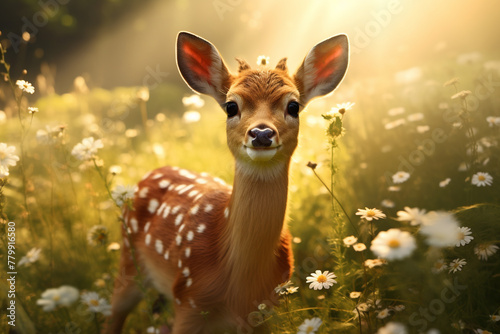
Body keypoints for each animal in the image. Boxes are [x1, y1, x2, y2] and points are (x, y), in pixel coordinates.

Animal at [105, 32, 348, 334]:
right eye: (231, 106)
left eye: (293, 106)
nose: (262, 133)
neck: (239, 288)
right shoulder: (189, 301)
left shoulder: (266, 312)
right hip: (129, 261)